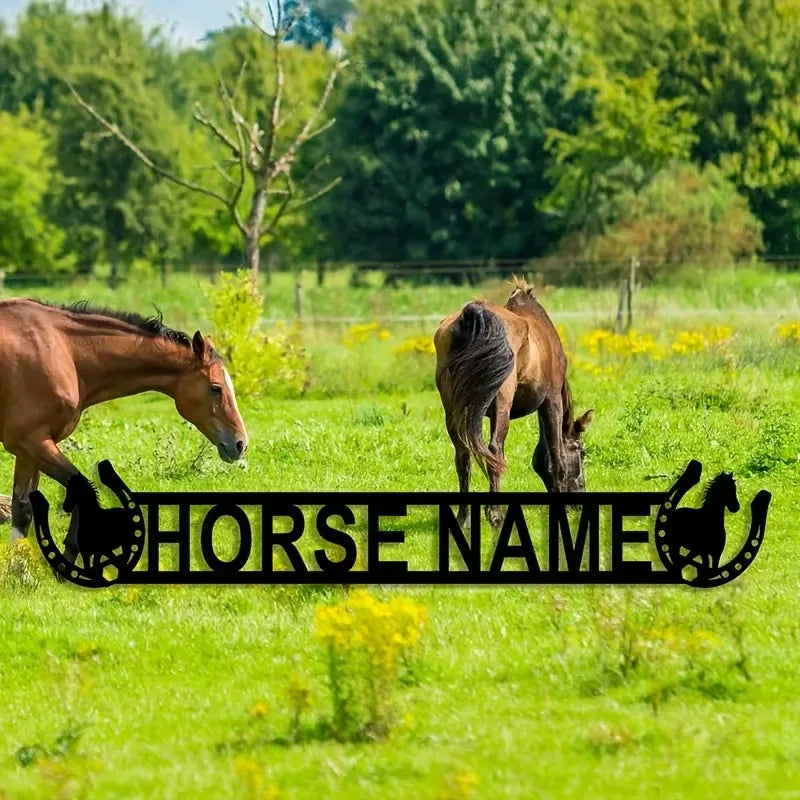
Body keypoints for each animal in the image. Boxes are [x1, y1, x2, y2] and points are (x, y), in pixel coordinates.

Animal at [0, 299, 248, 562]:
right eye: (215, 388)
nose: (240, 443)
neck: (63, 352)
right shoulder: (32, 441)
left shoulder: (29, 450)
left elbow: (22, 509)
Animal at [434, 278, 592, 525]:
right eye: (582, 452)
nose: (578, 501)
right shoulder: (551, 401)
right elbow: (556, 456)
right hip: (502, 401)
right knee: (494, 450)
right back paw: (495, 514)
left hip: (454, 409)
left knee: (464, 455)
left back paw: (464, 518)